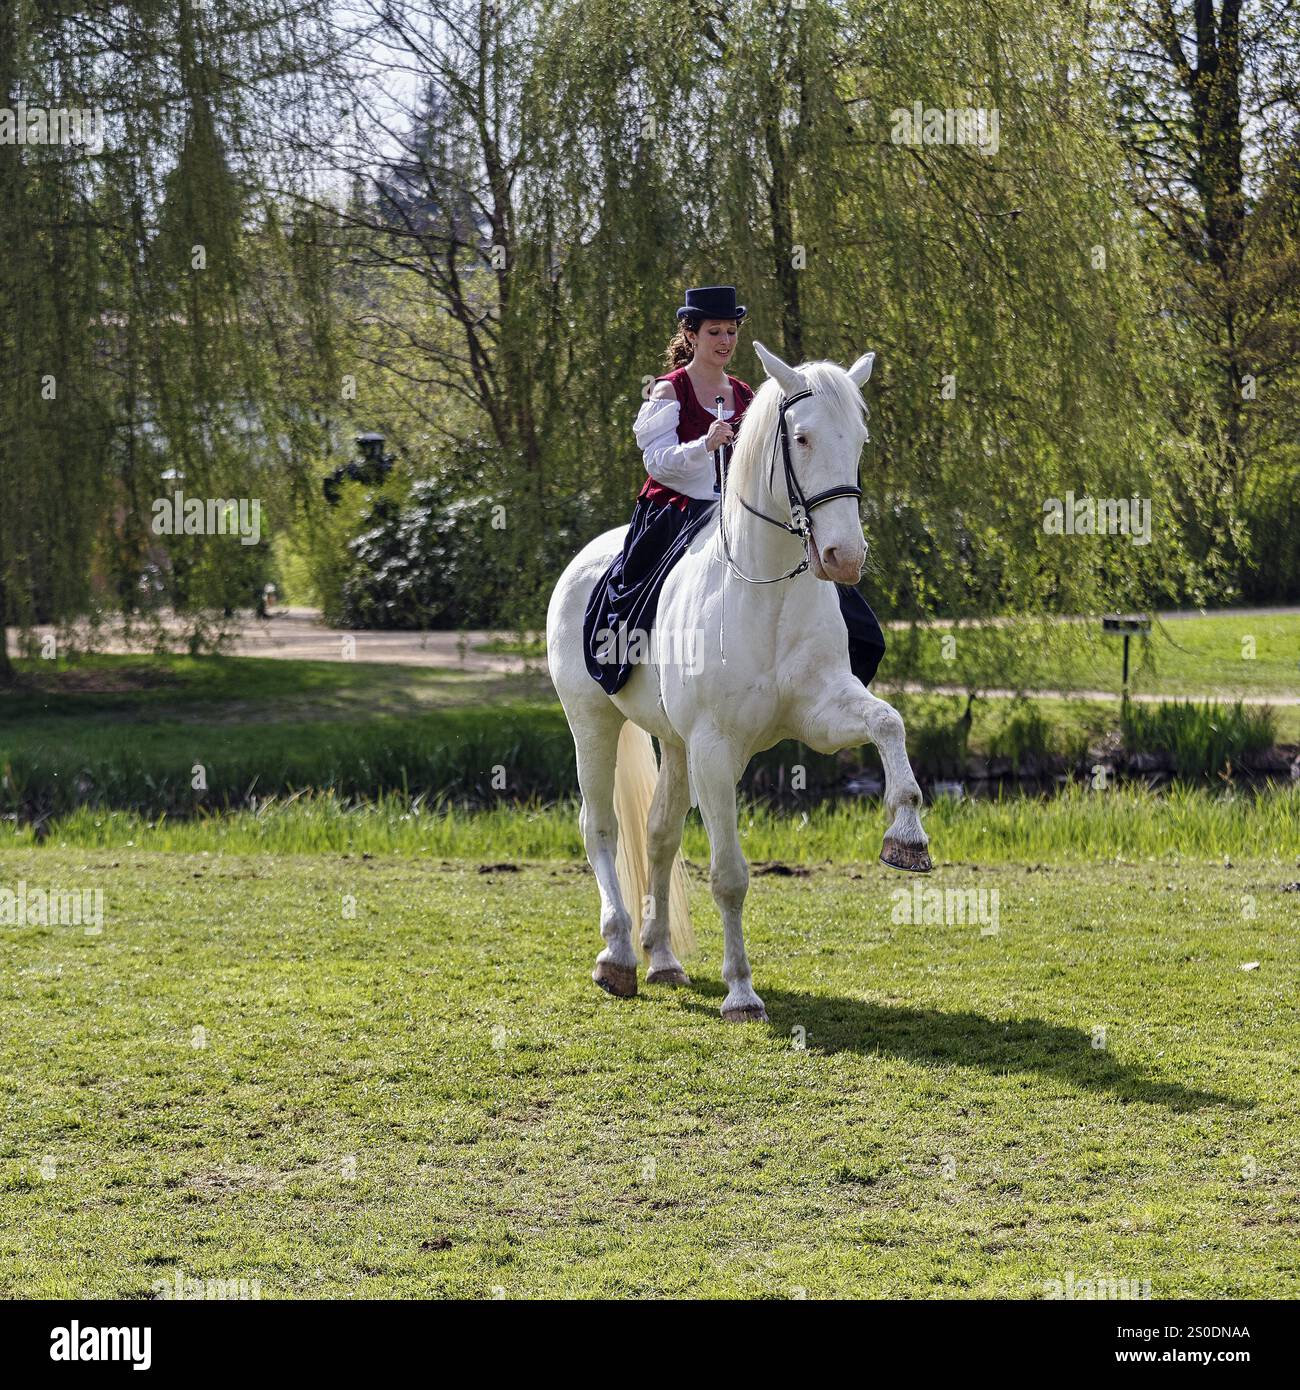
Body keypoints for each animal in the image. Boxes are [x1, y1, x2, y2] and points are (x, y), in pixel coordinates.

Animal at [546, 342, 931, 1022]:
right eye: (801, 438)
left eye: (859, 439)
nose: (845, 558)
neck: (765, 589)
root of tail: (586, 557)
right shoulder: (715, 748)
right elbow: (728, 874)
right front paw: (742, 992)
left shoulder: (821, 715)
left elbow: (888, 721)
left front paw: (906, 833)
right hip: (593, 722)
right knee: (602, 829)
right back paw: (617, 956)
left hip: (673, 745)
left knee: (659, 836)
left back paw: (662, 958)